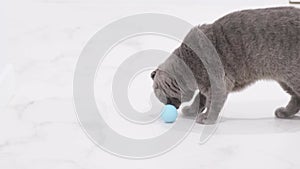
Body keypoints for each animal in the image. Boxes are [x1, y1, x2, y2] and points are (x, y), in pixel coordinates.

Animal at [151, 6, 298, 124]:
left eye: (157, 91)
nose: (170, 106)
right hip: (285, 81)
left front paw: (207, 118)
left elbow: (212, 102)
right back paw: (284, 112)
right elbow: (200, 99)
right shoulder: (206, 85)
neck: (189, 61)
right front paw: (192, 110)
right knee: (296, 98)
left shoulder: (218, 82)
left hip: (292, 76)